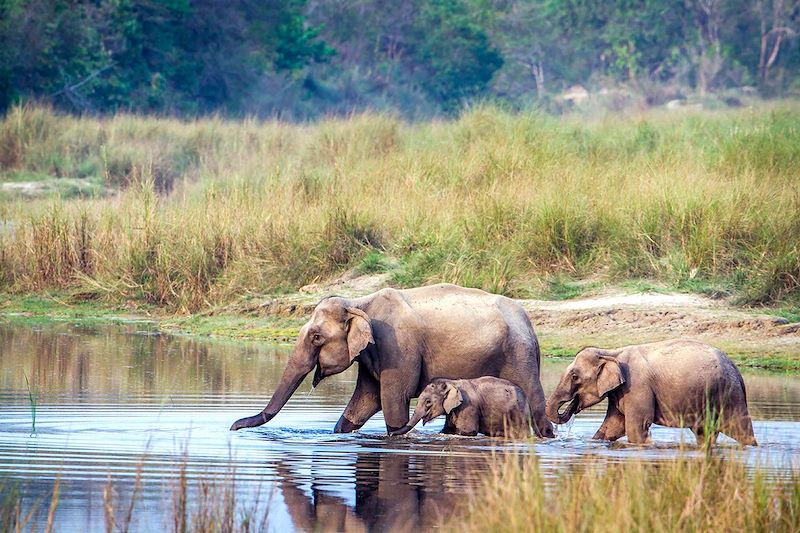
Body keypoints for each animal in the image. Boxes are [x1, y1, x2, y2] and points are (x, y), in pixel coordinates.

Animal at [390, 374, 532, 436]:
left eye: (428, 402)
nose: (390, 435)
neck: (452, 382)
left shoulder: (468, 407)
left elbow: (466, 432)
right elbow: (447, 430)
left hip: (519, 414)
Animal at [544, 336, 756, 444]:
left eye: (574, 377)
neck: (611, 352)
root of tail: (736, 368)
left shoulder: (637, 387)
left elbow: (636, 427)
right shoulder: (620, 391)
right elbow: (613, 425)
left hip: (729, 394)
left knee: (740, 429)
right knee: (704, 433)